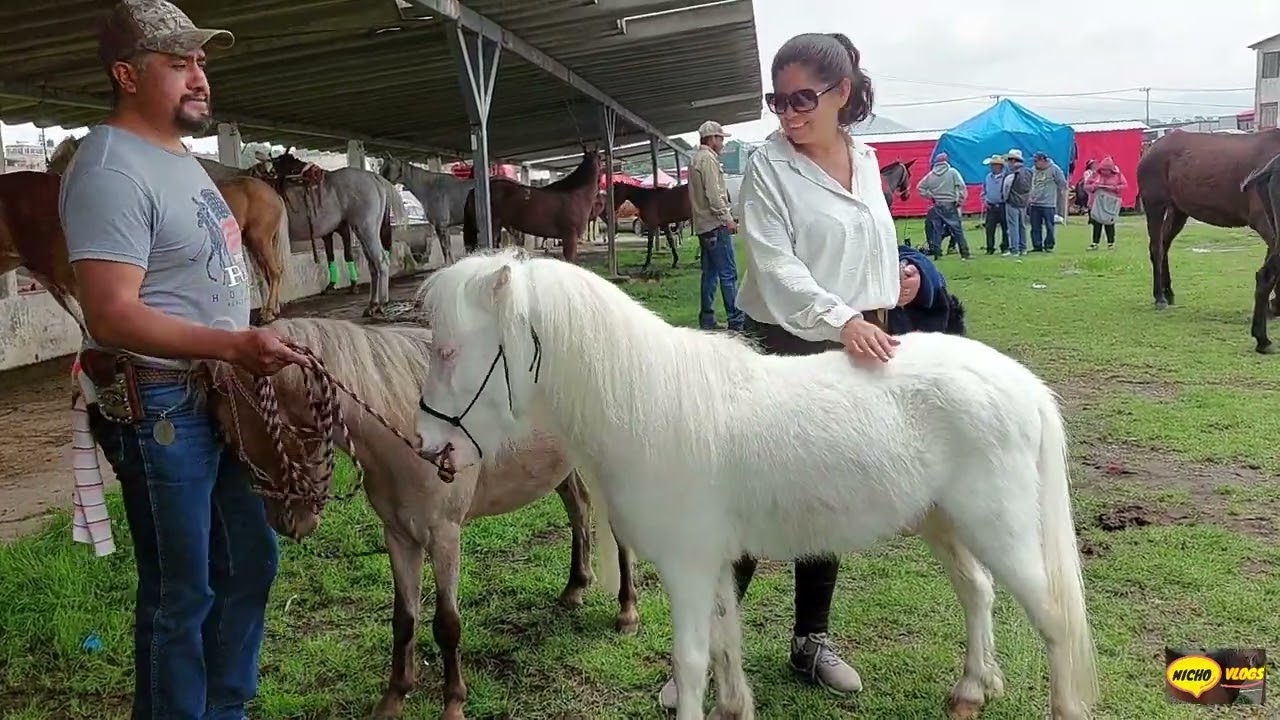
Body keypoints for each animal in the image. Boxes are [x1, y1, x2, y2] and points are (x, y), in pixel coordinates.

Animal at [198, 316, 640, 720]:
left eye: (228, 431)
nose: (289, 522)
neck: (410, 432)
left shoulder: (443, 536)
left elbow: (446, 624)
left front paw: (453, 704)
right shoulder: (398, 536)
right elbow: (404, 619)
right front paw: (394, 698)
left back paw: (627, 610)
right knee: (578, 507)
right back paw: (575, 587)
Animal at [268, 152, 407, 317]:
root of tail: (374, 177)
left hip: (367, 229)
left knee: (381, 261)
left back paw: (381, 303)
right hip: (361, 231)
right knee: (372, 264)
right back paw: (372, 305)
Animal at [412, 248, 1098, 720]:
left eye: (447, 352)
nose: (424, 444)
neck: (651, 405)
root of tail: (1023, 385)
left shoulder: (688, 567)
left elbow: (692, 661)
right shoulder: (715, 565)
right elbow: (724, 644)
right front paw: (735, 705)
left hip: (999, 529)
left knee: (1054, 618)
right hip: (942, 520)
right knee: (977, 591)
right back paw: (971, 690)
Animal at [1135, 129, 1280, 353]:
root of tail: (1151, 148)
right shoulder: (1264, 224)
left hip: (1178, 210)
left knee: (1164, 245)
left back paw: (1168, 293)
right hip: (1155, 205)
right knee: (1156, 248)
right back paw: (1159, 297)